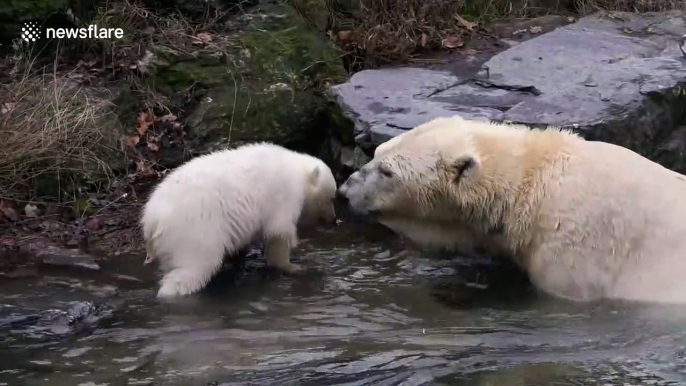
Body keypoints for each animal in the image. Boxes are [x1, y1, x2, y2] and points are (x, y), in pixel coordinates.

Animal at [142, 143, 338, 298]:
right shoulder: (284, 195)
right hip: (193, 231)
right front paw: (293, 267)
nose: (333, 219)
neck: (296, 169)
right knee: (191, 270)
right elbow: (278, 233)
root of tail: (151, 220)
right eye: (331, 197)